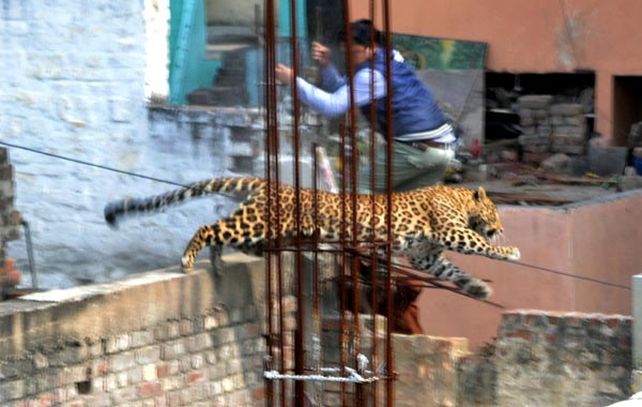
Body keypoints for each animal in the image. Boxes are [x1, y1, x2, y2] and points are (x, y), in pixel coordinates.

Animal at [104, 176, 520, 299]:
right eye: (497, 214)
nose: (502, 226)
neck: (459, 197)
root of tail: (267, 182)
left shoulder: (425, 255)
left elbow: (452, 271)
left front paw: (477, 288)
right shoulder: (453, 230)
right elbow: (482, 246)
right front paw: (510, 250)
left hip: (257, 230)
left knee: (222, 231)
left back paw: (218, 263)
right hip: (258, 223)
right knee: (210, 228)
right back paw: (189, 259)